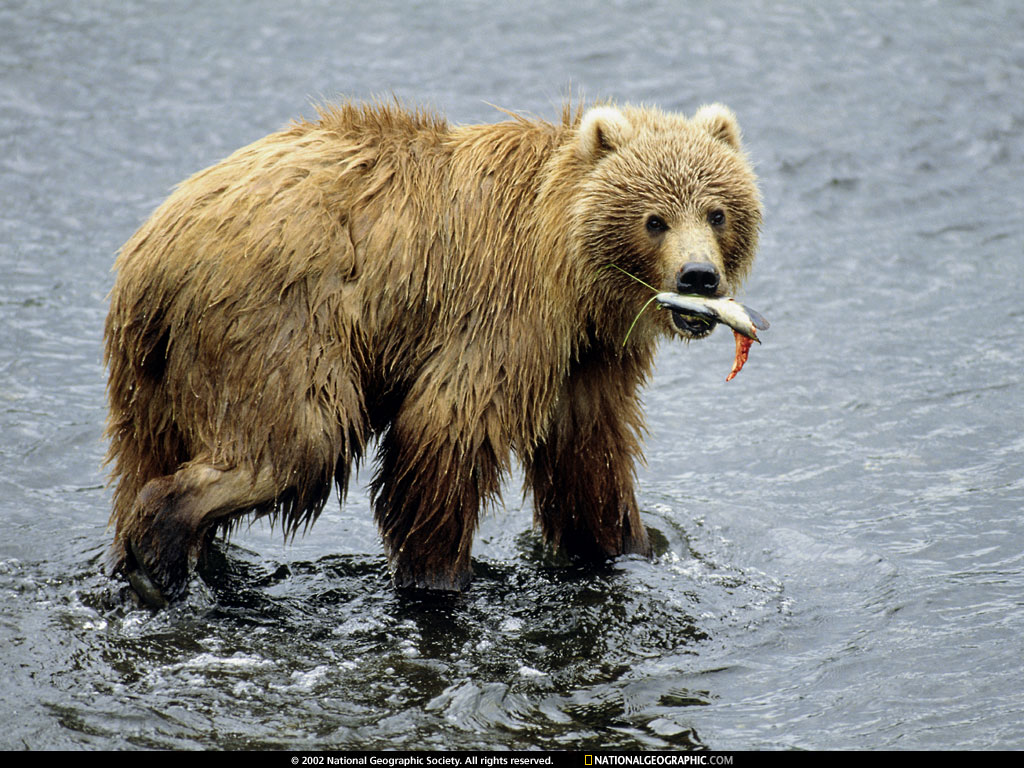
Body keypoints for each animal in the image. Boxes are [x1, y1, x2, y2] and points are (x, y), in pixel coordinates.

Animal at [105, 100, 761, 606]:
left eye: (717, 211)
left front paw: (626, 545)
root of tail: (151, 249)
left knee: (148, 451)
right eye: (654, 219)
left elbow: (588, 457)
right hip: (276, 325)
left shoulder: (585, 357)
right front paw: (438, 576)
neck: (574, 274)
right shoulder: (506, 309)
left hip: (155, 373)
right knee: (296, 443)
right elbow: (444, 431)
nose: (699, 276)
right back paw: (158, 555)